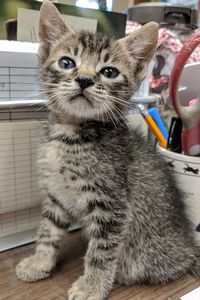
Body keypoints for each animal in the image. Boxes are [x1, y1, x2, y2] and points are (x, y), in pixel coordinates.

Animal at [16, 0, 200, 300]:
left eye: (109, 72)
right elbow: (47, 230)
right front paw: (39, 262)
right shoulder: (56, 194)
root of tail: (188, 245)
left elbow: (101, 251)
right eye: (67, 63)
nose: (84, 80)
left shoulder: (112, 204)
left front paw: (92, 285)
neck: (70, 135)